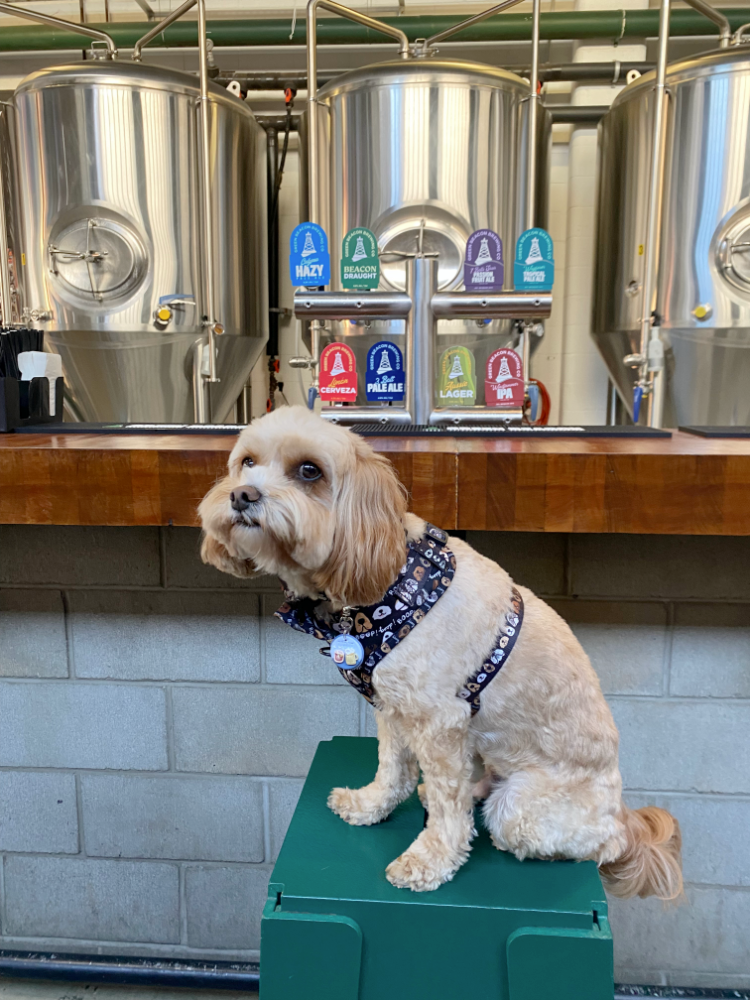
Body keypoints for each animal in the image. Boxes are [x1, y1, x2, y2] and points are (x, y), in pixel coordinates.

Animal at [198, 404, 680, 900]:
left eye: (309, 471)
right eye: (247, 462)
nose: (241, 495)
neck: (387, 584)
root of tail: (623, 818)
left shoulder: (440, 722)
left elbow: (449, 810)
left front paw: (429, 861)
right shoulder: (392, 709)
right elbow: (392, 767)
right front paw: (370, 805)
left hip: (522, 809)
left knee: (581, 844)